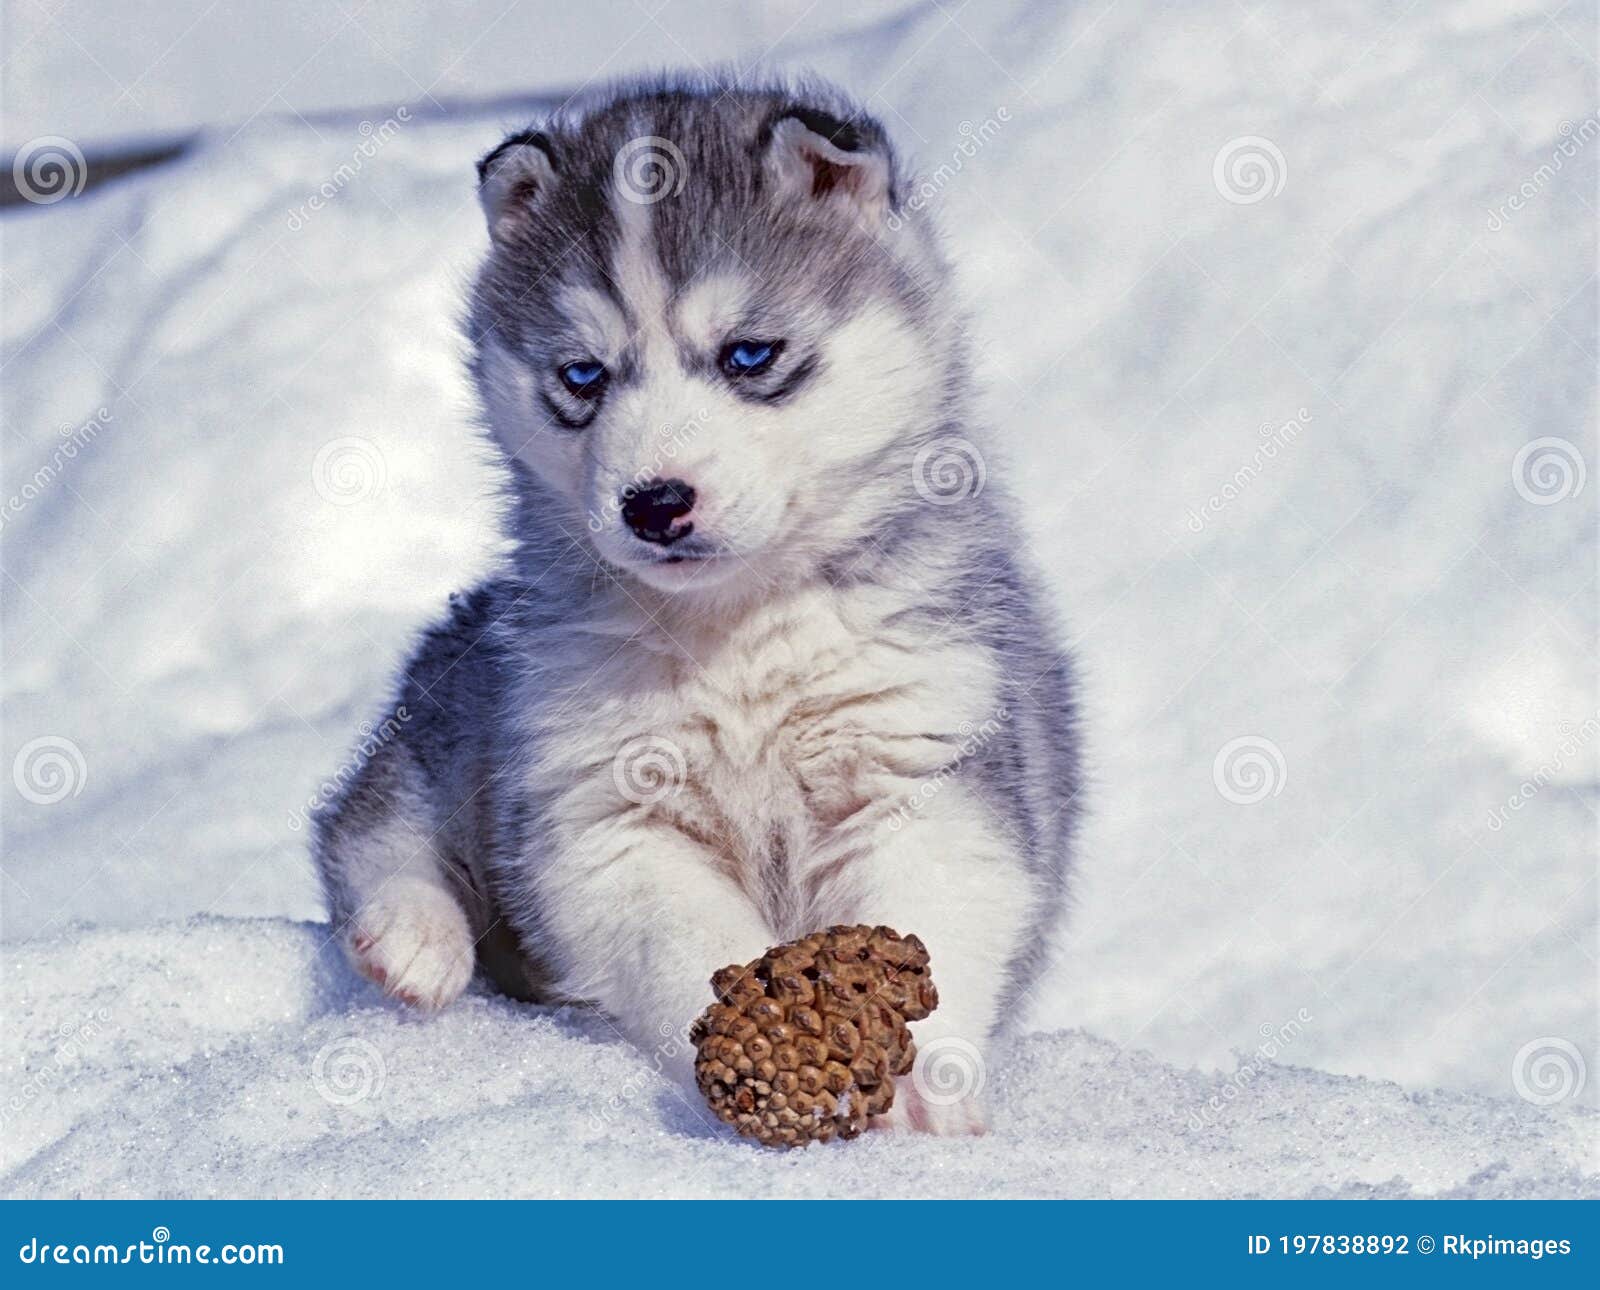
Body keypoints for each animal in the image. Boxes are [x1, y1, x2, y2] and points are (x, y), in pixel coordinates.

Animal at [308, 78, 1088, 1133]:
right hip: (464, 717)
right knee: (373, 821)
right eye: (582, 376)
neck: (741, 635)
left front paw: (928, 1092)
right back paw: (412, 935)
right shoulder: (604, 816)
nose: (653, 502)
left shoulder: (925, 766)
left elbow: (929, 911)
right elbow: (692, 947)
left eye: (750, 354)